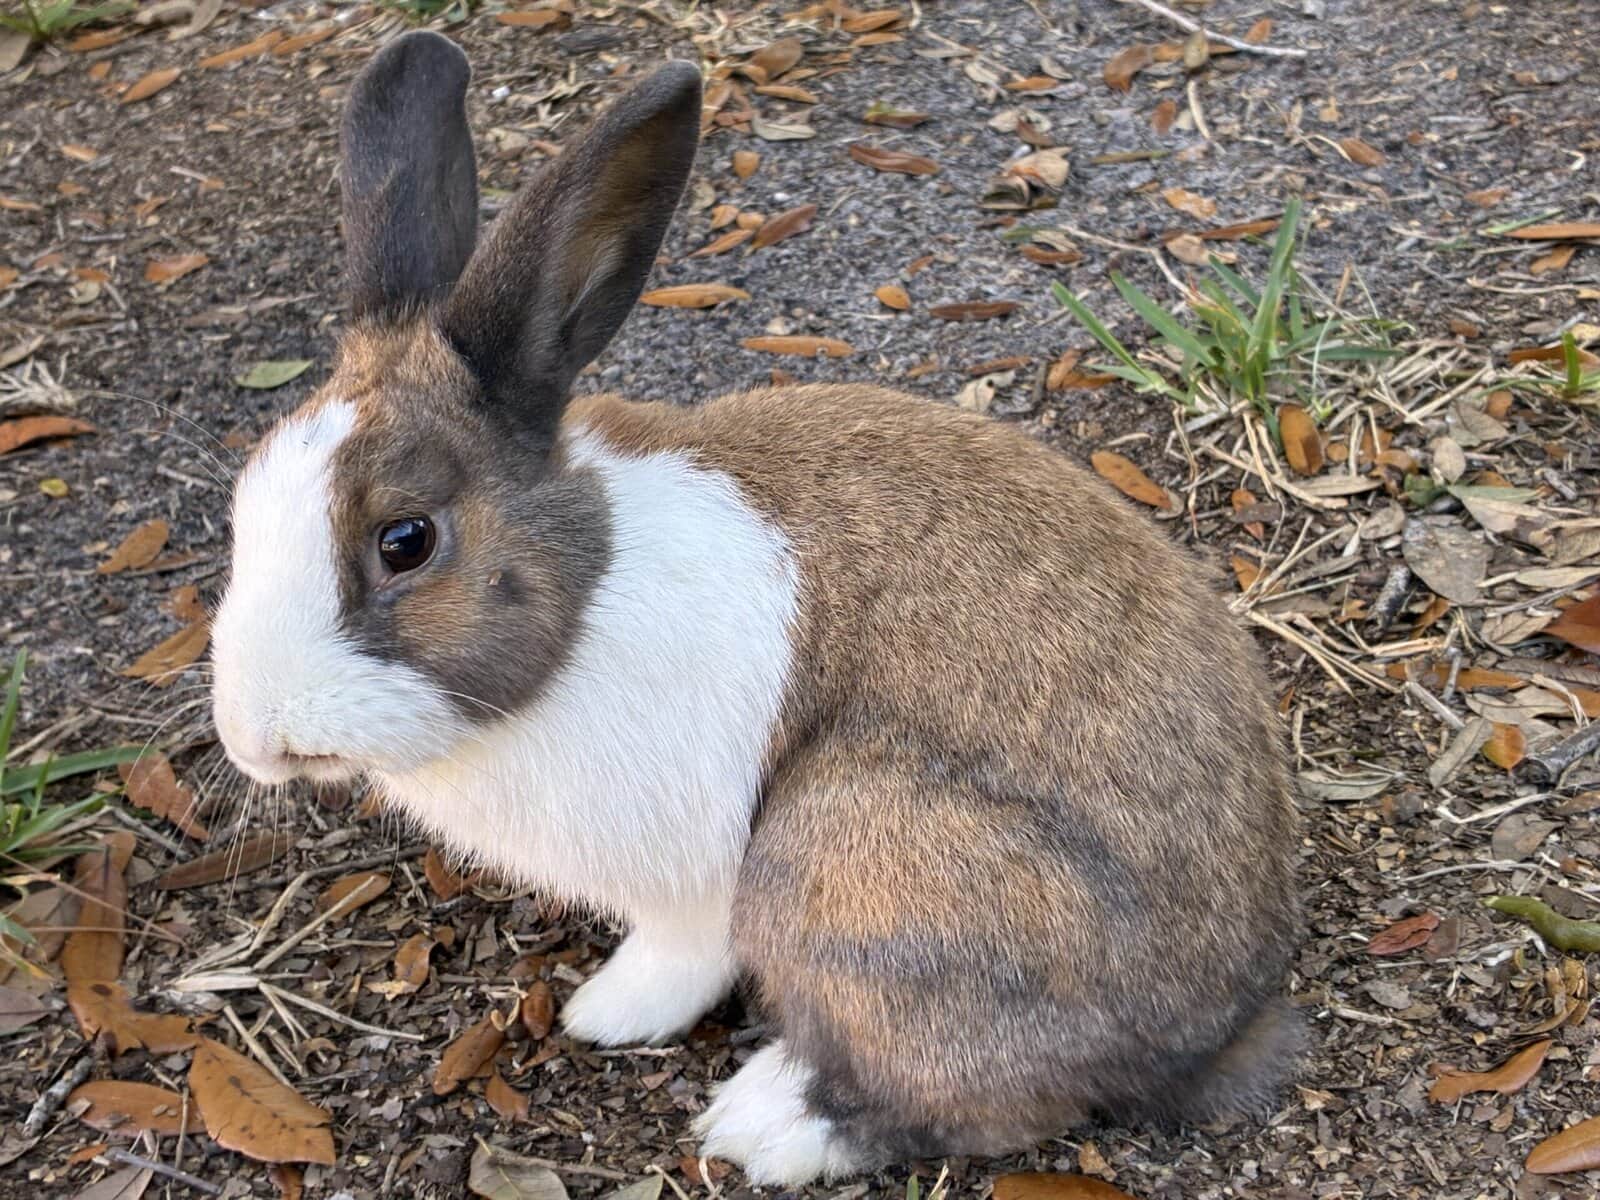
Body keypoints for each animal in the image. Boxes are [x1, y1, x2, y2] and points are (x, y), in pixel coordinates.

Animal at [208, 30, 1302, 1188]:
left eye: (405, 541)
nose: (256, 740)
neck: (587, 597)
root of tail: (1218, 1027)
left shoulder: (694, 880)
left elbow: (682, 956)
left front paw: (606, 1014)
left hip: (846, 853)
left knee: (982, 1099)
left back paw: (763, 1125)